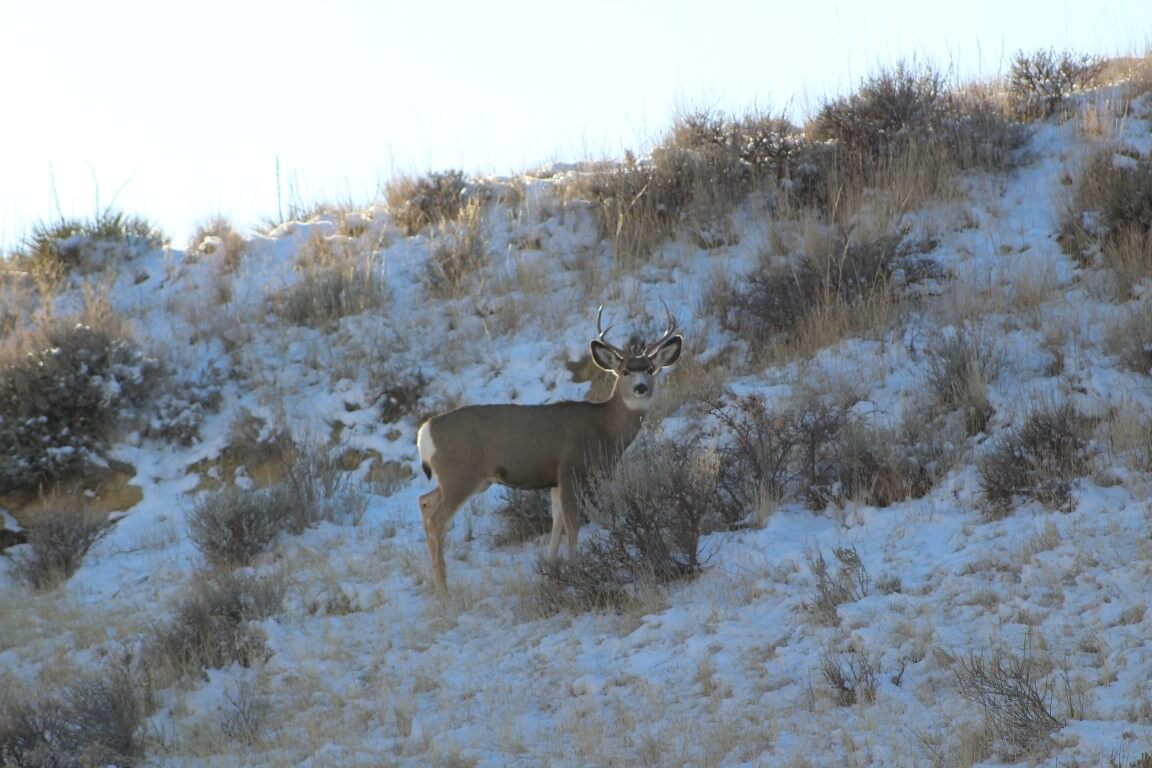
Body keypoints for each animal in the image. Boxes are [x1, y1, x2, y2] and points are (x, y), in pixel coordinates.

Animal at [417, 303, 677, 598]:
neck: (604, 429)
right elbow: (573, 523)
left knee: (424, 502)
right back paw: (444, 593)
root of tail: (425, 431)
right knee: (436, 521)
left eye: (650, 369)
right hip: (460, 476)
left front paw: (552, 569)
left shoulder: (554, 480)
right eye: (625, 371)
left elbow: (557, 521)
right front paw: (576, 570)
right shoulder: (570, 468)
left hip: (465, 480)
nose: (640, 388)